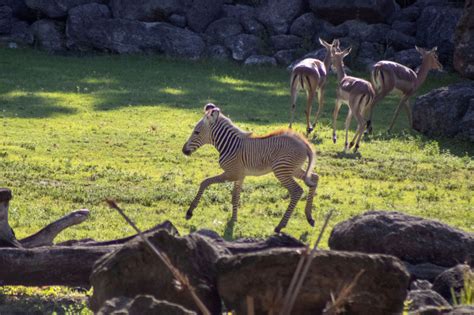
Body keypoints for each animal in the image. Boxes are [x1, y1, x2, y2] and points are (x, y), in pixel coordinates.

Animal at [183, 103, 320, 232]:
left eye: (196, 132)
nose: (184, 150)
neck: (230, 145)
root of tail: (304, 143)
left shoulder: (232, 173)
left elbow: (205, 182)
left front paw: (190, 211)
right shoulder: (240, 176)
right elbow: (235, 197)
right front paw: (233, 220)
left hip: (281, 170)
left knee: (297, 191)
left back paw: (280, 226)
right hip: (292, 169)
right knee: (314, 177)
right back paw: (309, 217)